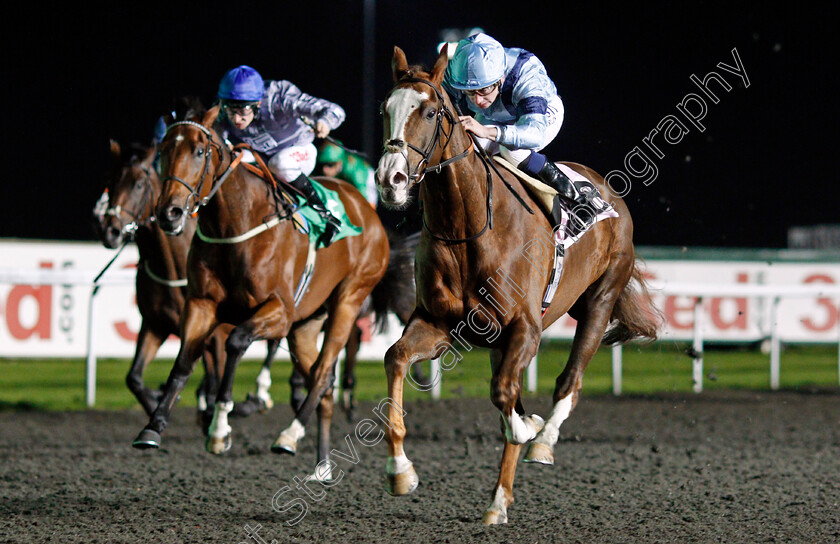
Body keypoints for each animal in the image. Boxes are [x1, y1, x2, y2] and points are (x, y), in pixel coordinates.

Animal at [94, 138, 278, 422]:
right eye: (110, 181)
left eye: (138, 184)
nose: (111, 231)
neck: (171, 267)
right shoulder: (155, 324)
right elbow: (134, 378)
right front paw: (158, 401)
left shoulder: (215, 335)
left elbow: (216, 380)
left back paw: (259, 396)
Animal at [132, 104, 390, 478]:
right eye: (164, 150)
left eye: (199, 151)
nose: (170, 213)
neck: (236, 224)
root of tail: (367, 210)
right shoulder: (201, 304)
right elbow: (183, 362)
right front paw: (153, 426)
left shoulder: (278, 311)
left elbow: (236, 341)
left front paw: (220, 427)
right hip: (305, 324)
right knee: (323, 385)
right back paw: (322, 465)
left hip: (349, 299)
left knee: (324, 372)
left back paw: (289, 434)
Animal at [376, 46, 664, 524]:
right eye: (386, 110)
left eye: (431, 111)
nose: (390, 179)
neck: (467, 228)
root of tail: (606, 191)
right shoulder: (437, 324)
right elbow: (396, 358)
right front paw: (401, 471)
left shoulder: (525, 328)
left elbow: (504, 396)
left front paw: (514, 460)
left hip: (600, 300)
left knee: (570, 380)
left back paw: (542, 442)